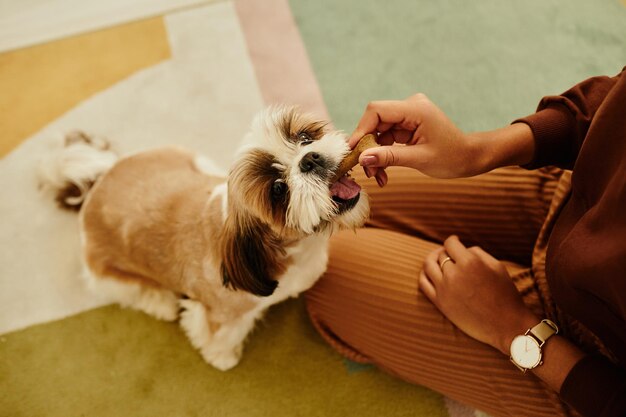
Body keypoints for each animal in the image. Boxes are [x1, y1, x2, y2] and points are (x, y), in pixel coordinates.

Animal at [37, 105, 366, 368]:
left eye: (305, 138)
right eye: (277, 189)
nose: (310, 158)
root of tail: (96, 182)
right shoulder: (219, 316)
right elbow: (219, 337)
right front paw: (223, 358)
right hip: (108, 274)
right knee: (137, 292)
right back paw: (161, 303)